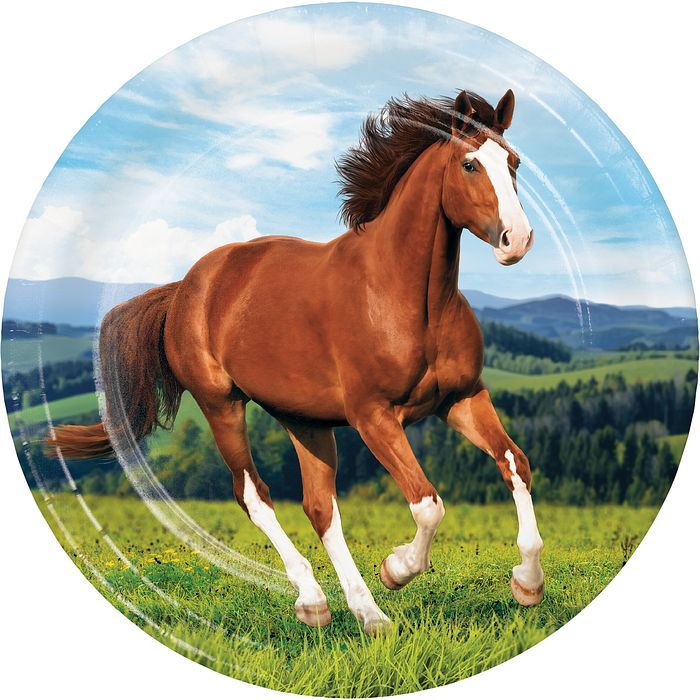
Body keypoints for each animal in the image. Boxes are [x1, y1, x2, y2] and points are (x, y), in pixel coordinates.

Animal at [47, 88, 544, 635]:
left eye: (514, 162)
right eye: (470, 164)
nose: (517, 240)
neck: (403, 295)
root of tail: (185, 289)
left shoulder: (461, 398)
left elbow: (515, 464)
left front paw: (527, 584)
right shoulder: (373, 416)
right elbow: (427, 504)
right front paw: (396, 569)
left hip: (304, 419)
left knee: (319, 507)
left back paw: (366, 614)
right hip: (220, 404)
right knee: (254, 495)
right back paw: (315, 602)